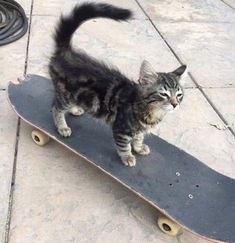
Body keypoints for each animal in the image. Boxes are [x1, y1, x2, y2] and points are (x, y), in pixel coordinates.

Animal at [48, 2, 186, 167]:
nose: (175, 104)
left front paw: (139, 148)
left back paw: (76, 109)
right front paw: (128, 157)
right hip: (66, 95)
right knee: (56, 107)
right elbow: (124, 145)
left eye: (179, 95)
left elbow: (138, 138)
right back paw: (62, 126)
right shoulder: (121, 129)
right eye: (164, 94)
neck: (151, 112)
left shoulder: (139, 130)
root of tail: (66, 52)